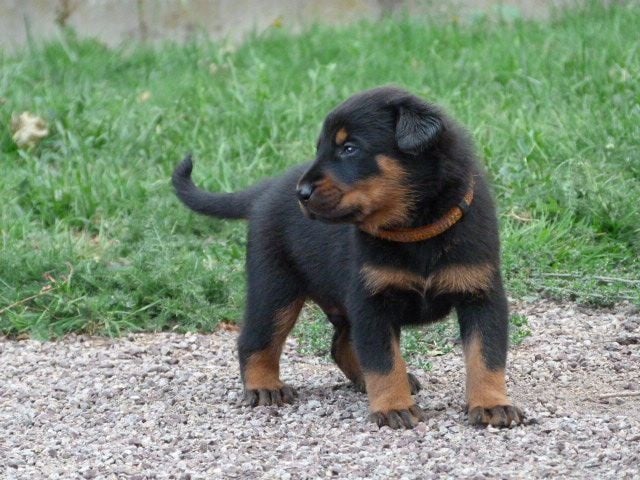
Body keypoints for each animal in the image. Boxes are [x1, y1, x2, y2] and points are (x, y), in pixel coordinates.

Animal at [172, 86, 524, 429]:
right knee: (257, 340)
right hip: (274, 288)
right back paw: (263, 387)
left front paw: (491, 405)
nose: (301, 193)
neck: (416, 230)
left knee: (340, 345)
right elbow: (383, 361)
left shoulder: (481, 294)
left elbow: (485, 356)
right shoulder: (371, 301)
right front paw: (394, 407)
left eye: (350, 148)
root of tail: (267, 189)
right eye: (321, 148)